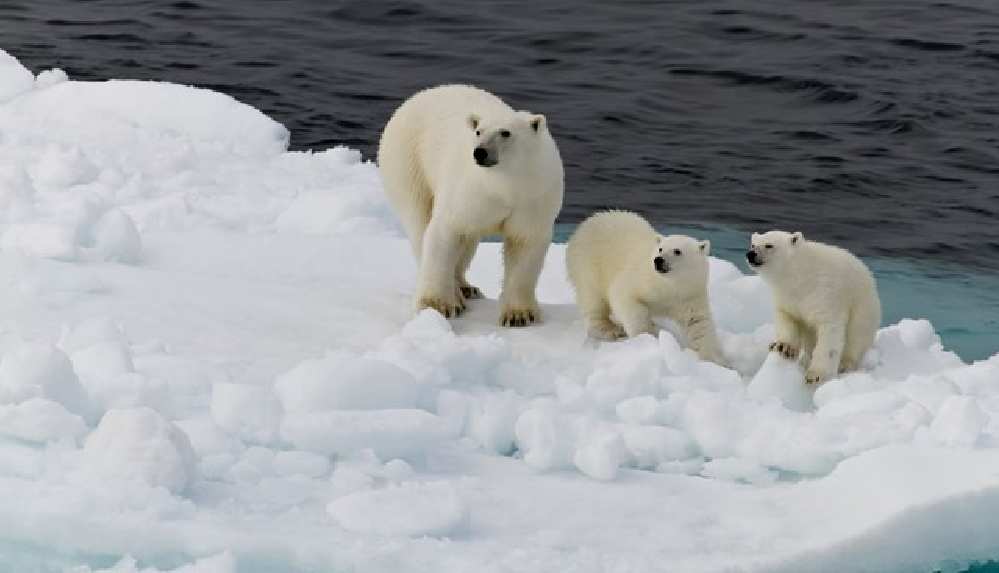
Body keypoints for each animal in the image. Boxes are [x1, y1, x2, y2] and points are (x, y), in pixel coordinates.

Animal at [376, 85, 564, 326]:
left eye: (505, 132)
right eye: (478, 132)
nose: (480, 152)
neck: (505, 185)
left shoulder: (534, 196)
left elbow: (524, 243)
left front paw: (519, 315)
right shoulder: (469, 191)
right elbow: (447, 231)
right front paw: (437, 305)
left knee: (468, 241)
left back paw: (467, 288)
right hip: (408, 162)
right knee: (419, 224)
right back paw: (457, 291)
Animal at [572, 211, 728, 366]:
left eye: (677, 251)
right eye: (660, 249)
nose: (658, 260)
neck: (668, 286)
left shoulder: (689, 295)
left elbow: (698, 323)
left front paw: (716, 361)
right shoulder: (641, 279)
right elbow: (624, 297)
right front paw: (647, 336)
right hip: (588, 265)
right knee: (593, 299)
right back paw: (609, 329)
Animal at [748, 229, 880, 384]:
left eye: (769, 245)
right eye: (753, 244)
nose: (750, 254)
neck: (800, 275)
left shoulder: (825, 292)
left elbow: (829, 330)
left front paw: (816, 375)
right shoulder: (786, 296)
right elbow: (787, 317)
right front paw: (783, 347)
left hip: (863, 308)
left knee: (857, 336)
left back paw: (845, 364)